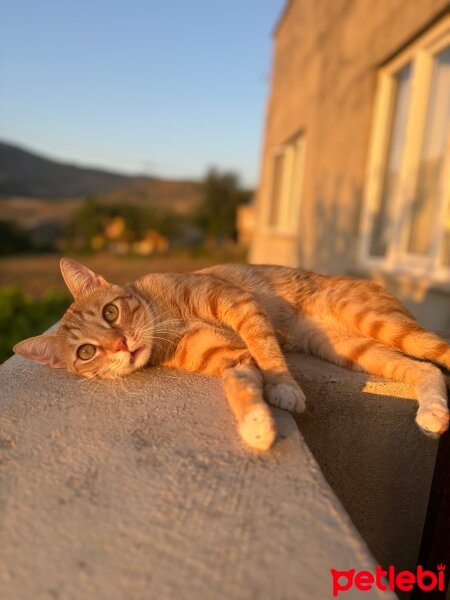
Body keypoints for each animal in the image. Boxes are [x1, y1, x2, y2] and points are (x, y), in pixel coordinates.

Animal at [12, 258, 448, 450]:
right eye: (86, 352)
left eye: (110, 312)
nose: (121, 345)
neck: (163, 318)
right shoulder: (229, 357)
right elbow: (240, 383)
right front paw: (256, 424)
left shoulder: (236, 302)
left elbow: (266, 349)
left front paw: (284, 387)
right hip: (358, 348)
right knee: (425, 371)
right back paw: (433, 413)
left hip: (381, 323)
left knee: (436, 354)